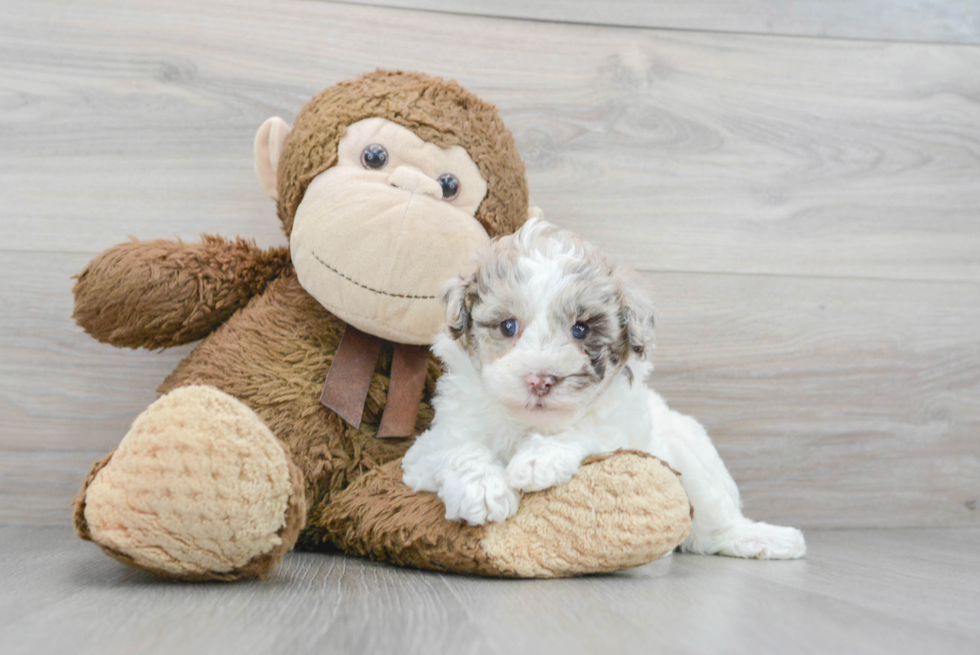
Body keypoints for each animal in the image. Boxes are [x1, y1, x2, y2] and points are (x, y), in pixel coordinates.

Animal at [402, 219, 808, 560]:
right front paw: (483, 490)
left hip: (691, 456)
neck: (528, 424)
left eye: (581, 330)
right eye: (507, 326)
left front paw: (539, 459)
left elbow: (586, 430)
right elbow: (458, 449)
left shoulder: (621, 430)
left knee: (712, 525)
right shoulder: (427, 449)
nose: (540, 379)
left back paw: (767, 539)